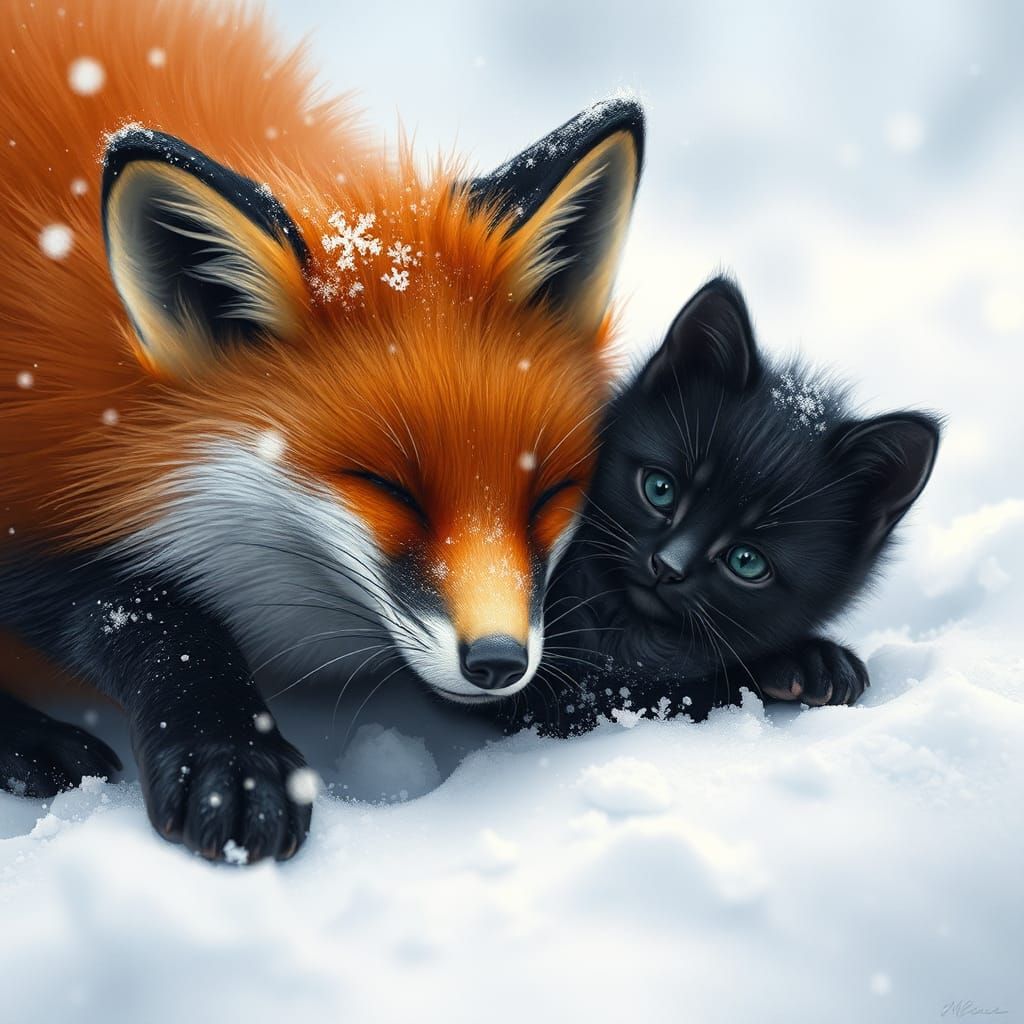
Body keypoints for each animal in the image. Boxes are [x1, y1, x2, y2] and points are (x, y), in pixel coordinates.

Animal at [0, 0, 644, 862]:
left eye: (546, 493)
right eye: (388, 488)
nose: (500, 662)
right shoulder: (34, 498)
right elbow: (154, 615)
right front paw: (231, 758)